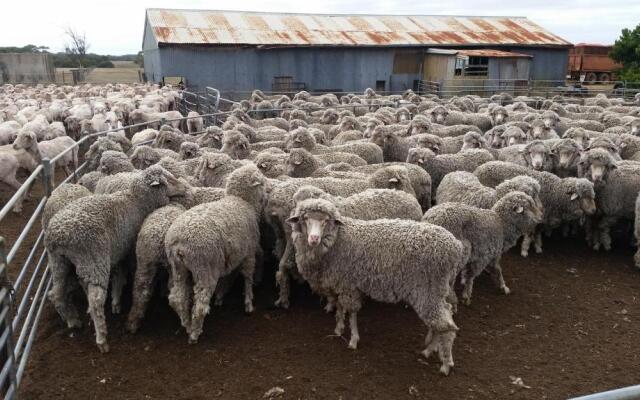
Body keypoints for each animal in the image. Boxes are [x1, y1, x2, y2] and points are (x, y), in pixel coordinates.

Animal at [165, 164, 268, 342]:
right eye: (260, 181)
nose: (268, 189)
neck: (242, 200)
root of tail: (180, 242)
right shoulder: (248, 253)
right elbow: (247, 277)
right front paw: (248, 303)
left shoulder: (230, 255)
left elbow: (227, 276)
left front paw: (221, 296)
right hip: (204, 267)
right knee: (200, 303)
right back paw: (195, 333)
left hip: (178, 268)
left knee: (176, 298)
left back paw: (186, 324)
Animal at [288, 198, 462, 376]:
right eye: (305, 219)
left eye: (325, 221)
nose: (314, 239)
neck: (337, 241)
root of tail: (456, 247)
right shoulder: (339, 282)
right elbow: (340, 307)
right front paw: (338, 329)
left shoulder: (348, 284)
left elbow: (352, 312)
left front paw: (353, 339)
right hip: (437, 290)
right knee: (445, 315)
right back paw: (430, 349)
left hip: (427, 290)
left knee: (446, 326)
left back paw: (445, 364)